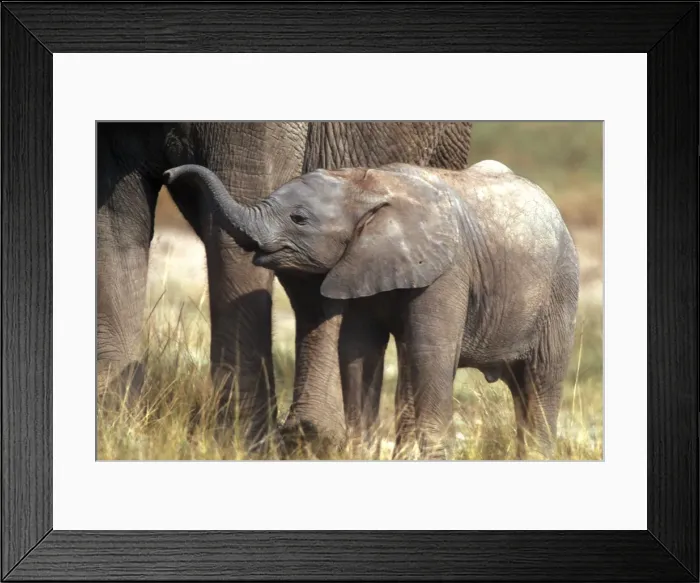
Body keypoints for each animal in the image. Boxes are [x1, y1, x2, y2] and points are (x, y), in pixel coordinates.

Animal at [97, 122, 472, 453]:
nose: (172, 173)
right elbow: (113, 225)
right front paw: (117, 431)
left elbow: (231, 222)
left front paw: (240, 446)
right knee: (310, 285)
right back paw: (309, 437)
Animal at [162, 159, 580, 460]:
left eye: (299, 219)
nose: (168, 173)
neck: (366, 184)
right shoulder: (358, 263)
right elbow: (357, 350)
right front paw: (358, 454)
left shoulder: (448, 271)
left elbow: (431, 353)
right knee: (520, 388)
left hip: (560, 291)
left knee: (541, 376)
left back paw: (538, 457)